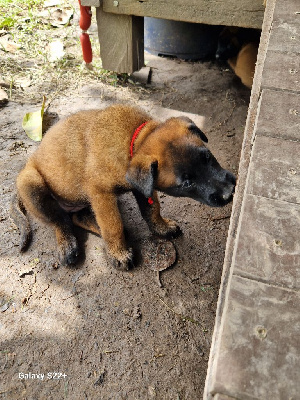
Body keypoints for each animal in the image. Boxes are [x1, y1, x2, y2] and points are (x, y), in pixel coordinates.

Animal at [11, 104, 237, 270]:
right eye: (187, 183)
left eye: (207, 157)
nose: (229, 193)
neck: (133, 139)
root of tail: (28, 164)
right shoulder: (101, 193)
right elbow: (113, 225)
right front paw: (118, 253)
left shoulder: (143, 187)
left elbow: (151, 210)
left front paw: (161, 227)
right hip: (32, 183)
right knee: (59, 220)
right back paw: (67, 245)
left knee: (77, 217)